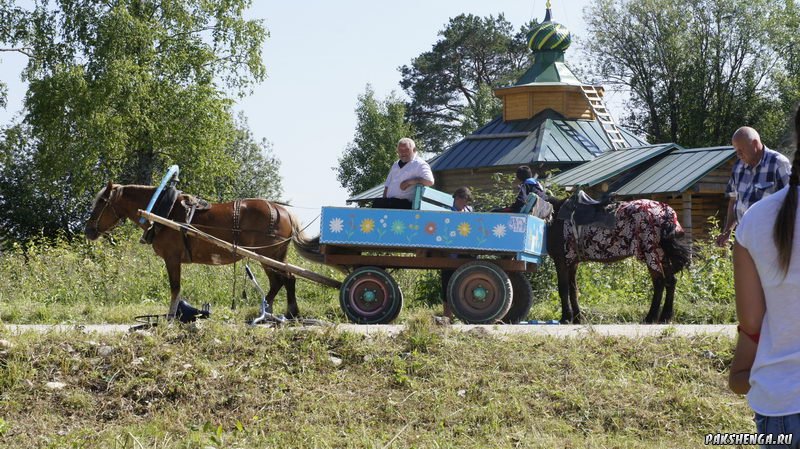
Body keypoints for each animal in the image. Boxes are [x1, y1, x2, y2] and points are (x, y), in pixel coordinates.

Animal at [83, 181, 324, 316]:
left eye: (101, 202)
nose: (88, 230)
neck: (163, 211)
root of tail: (283, 211)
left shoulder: (172, 258)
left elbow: (175, 288)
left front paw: (171, 316)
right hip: (270, 256)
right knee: (279, 281)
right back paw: (268, 310)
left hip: (269, 254)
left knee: (287, 279)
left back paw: (290, 312)